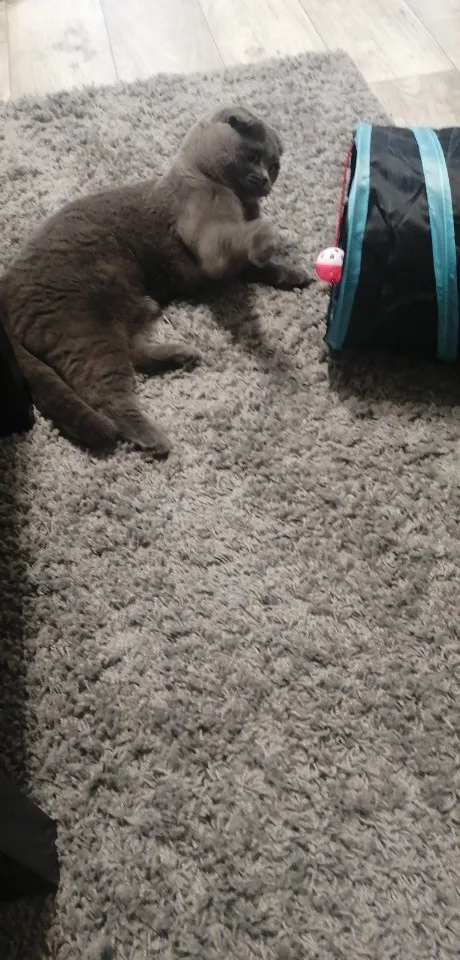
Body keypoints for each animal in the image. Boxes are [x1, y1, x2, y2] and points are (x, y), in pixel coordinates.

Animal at [0, 104, 311, 456]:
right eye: (253, 155)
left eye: (274, 166)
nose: (267, 180)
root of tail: (5, 285)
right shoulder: (210, 240)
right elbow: (235, 243)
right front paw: (265, 236)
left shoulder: (231, 266)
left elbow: (263, 268)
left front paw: (294, 272)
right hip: (83, 324)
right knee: (104, 390)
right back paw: (152, 437)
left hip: (125, 310)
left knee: (133, 353)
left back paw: (180, 354)